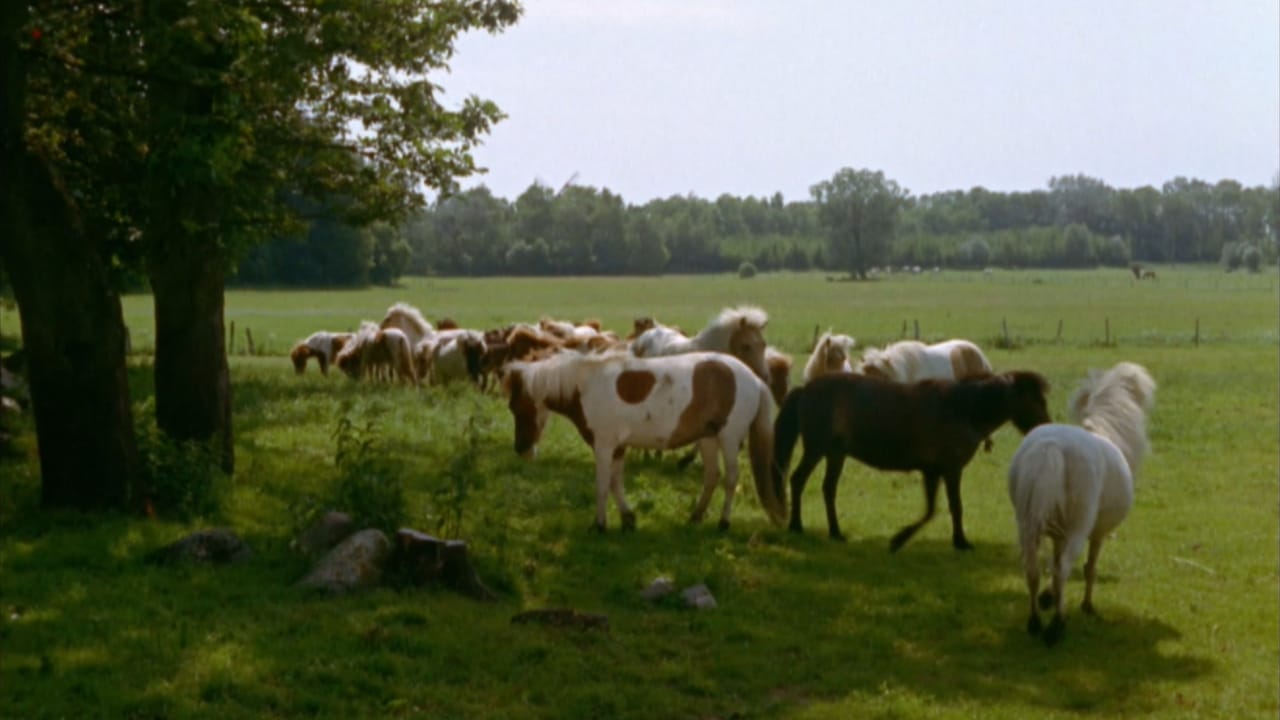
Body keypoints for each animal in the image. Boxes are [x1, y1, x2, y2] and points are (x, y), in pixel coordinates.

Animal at [501, 351, 783, 530]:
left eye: (515, 406)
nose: (521, 449)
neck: (587, 386)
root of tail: (754, 379)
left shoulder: (604, 446)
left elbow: (602, 485)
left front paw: (600, 525)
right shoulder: (617, 448)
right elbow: (615, 484)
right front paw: (627, 519)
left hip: (729, 437)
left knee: (731, 478)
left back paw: (723, 522)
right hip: (708, 438)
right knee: (712, 476)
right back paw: (696, 516)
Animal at [768, 368, 1049, 548]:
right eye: (1035, 399)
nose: (1047, 426)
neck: (963, 408)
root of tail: (806, 388)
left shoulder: (932, 471)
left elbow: (931, 510)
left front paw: (901, 538)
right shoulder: (950, 469)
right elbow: (954, 506)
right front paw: (960, 542)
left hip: (836, 454)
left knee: (828, 489)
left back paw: (835, 532)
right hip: (816, 449)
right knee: (798, 480)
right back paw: (796, 525)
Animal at [1008, 361, 1162, 640]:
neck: (1105, 430)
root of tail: (1052, 448)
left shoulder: (1057, 535)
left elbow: (1053, 563)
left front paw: (1050, 598)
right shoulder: (1097, 533)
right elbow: (1089, 567)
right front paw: (1085, 605)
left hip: (1026, 523)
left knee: (1033, 570)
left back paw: (1035, 621)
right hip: (1078, 528)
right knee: (1063, 570)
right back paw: (1056, 625)